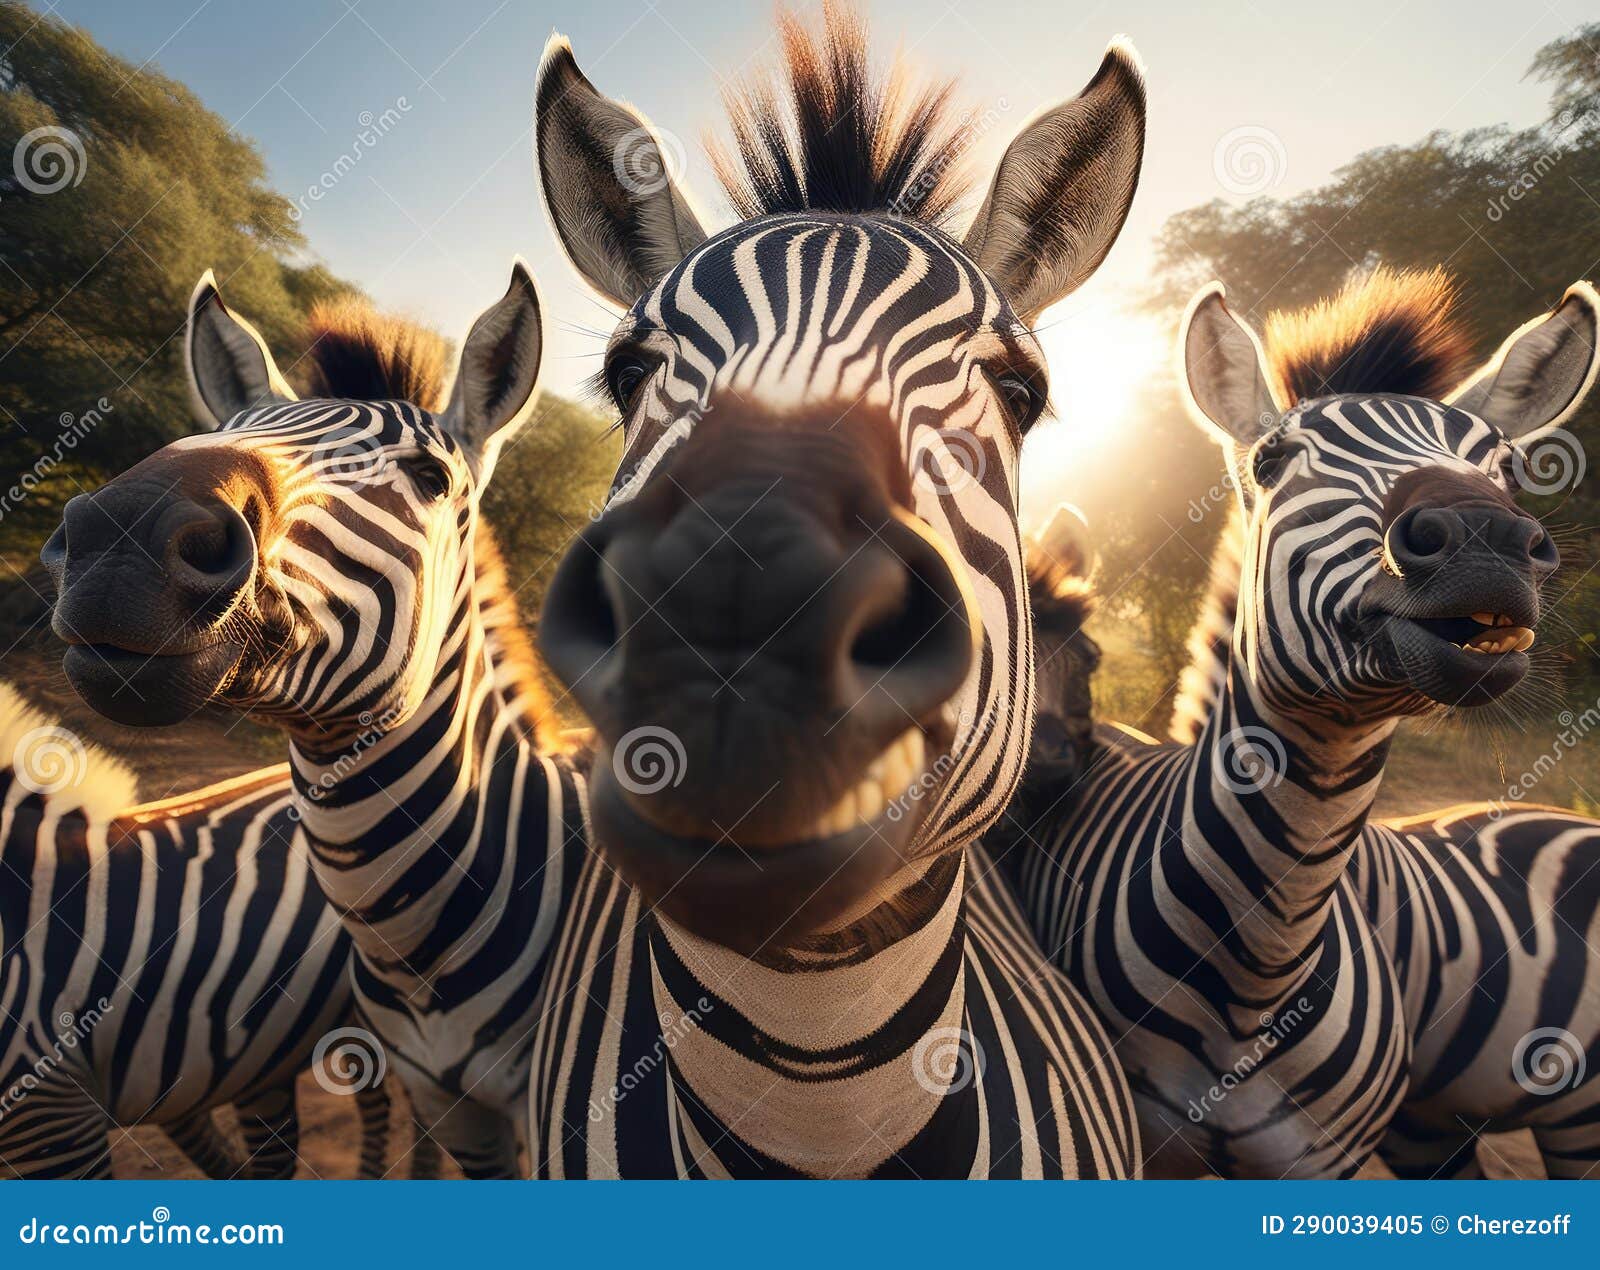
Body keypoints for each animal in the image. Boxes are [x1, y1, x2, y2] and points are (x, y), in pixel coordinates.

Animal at [997, 267, 1600, 1177]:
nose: (1486, 542)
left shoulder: (1326, 1159)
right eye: (1273, 461)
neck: (1262, 958)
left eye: (1502, 464)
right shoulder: (1153, 1138)